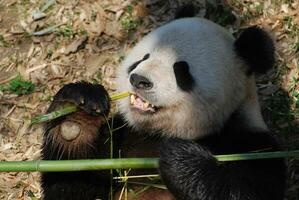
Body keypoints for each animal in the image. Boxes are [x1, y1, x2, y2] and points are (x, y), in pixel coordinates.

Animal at [41, 7, 288, 200]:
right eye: (143, 58)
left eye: (181, 71)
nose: (139, 80)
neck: (159, 133)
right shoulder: (122, 140)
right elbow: (72, 184)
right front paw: (76, 115)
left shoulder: (253, 148)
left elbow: (241, 190)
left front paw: (179, 157)